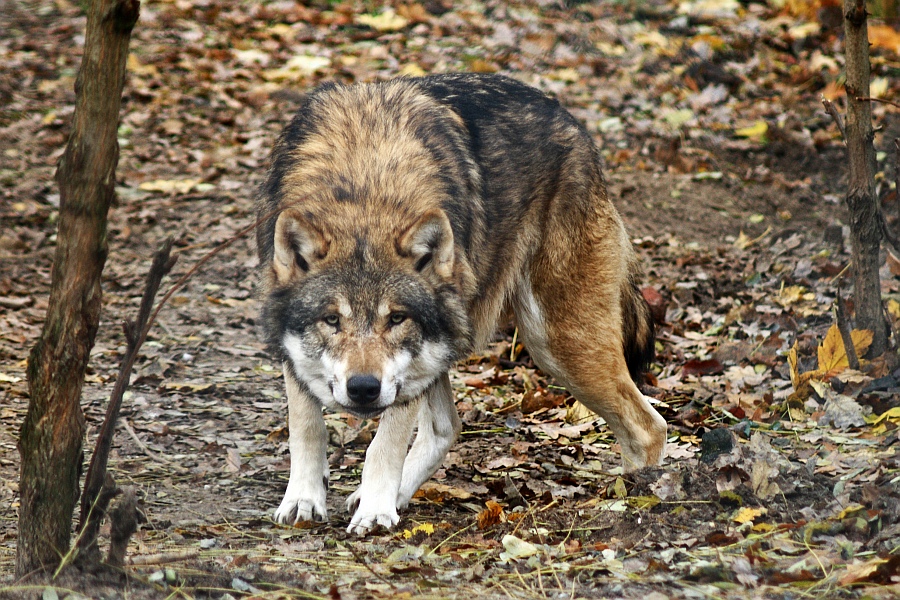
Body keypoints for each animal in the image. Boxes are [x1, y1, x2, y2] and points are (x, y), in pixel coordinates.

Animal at [256, 71, 664, 536]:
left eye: (397, 318)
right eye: (331, 320)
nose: (363, 388)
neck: (364, 190)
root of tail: (573, 125)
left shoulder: (411, 365)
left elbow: (384, 444)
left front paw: (375, 511)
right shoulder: (293, 345)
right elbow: (306, 428)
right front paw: (303, 500)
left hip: (555, 344)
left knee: (649, 427)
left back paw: (634, 501)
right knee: (446, 427)